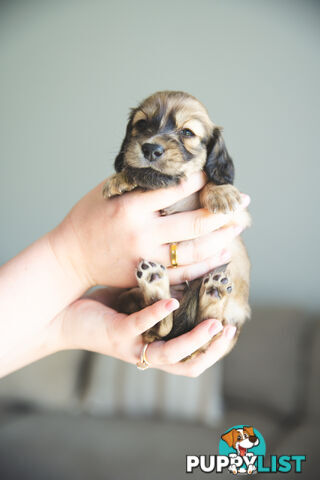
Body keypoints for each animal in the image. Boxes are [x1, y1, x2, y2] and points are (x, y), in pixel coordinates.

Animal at [104, 92, 251, 358]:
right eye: (141, 124)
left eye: (187, 132)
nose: (150, 148)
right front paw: (120, 178)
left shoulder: (237, 218)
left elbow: (208, 182)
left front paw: (221, 192)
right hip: (129, 298)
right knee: (158, 326)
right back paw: (155, 283)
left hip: (228, 317)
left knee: (207, 329)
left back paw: (212, 292)